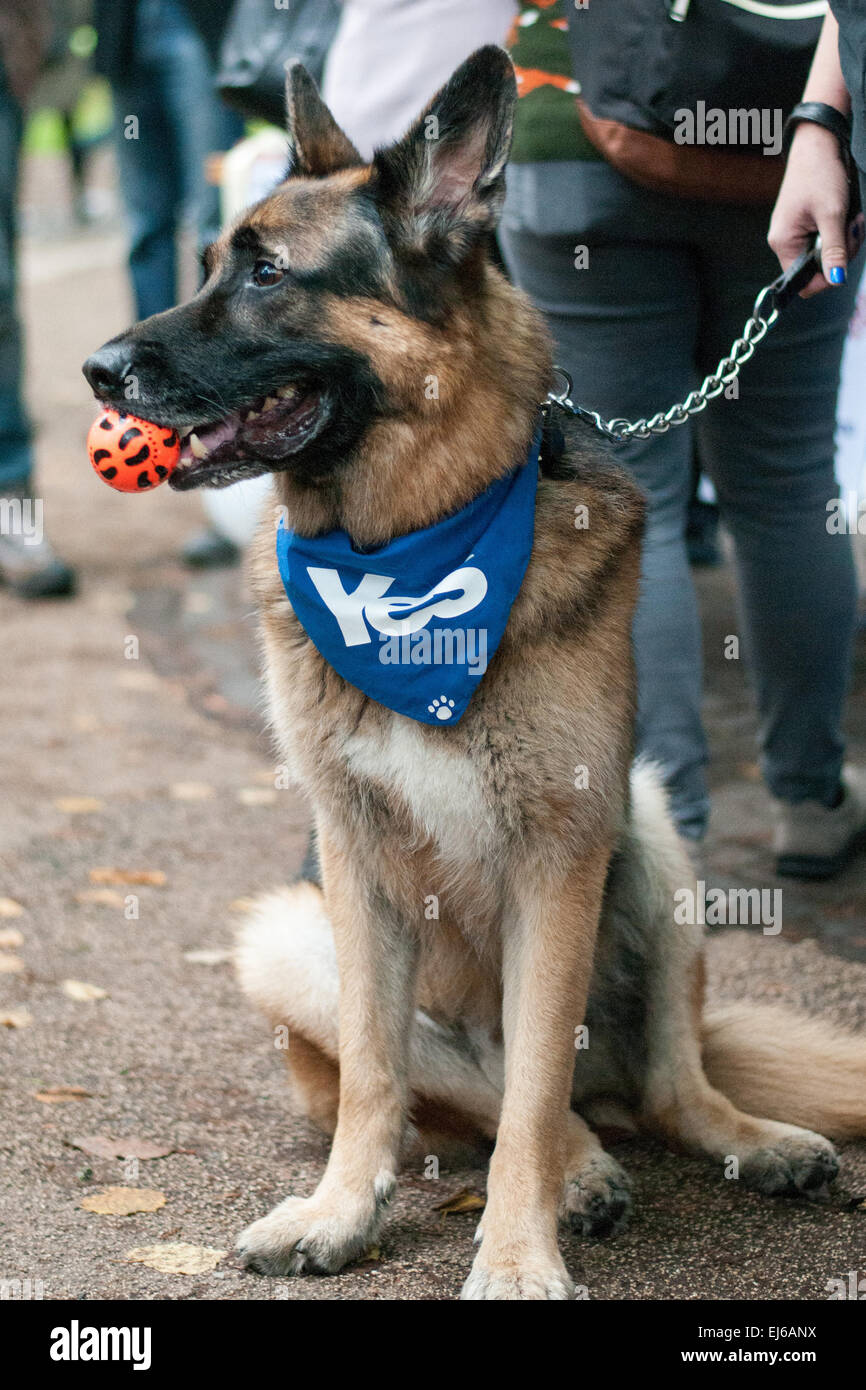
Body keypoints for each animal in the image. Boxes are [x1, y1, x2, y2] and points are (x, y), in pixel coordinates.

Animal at [86, 51, 866, 1289]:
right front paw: (342, 1209)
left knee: (659, 1082)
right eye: (209, 263)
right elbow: (383, 1070)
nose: (97, 370)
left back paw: (730, 1140)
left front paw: (512, 1255)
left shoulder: (560, 854)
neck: (410, 548)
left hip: (651, 834)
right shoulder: (351, 857)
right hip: (287, 934)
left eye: (266, 273)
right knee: (493, 1092)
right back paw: (586, 1170)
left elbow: (538, 1083)